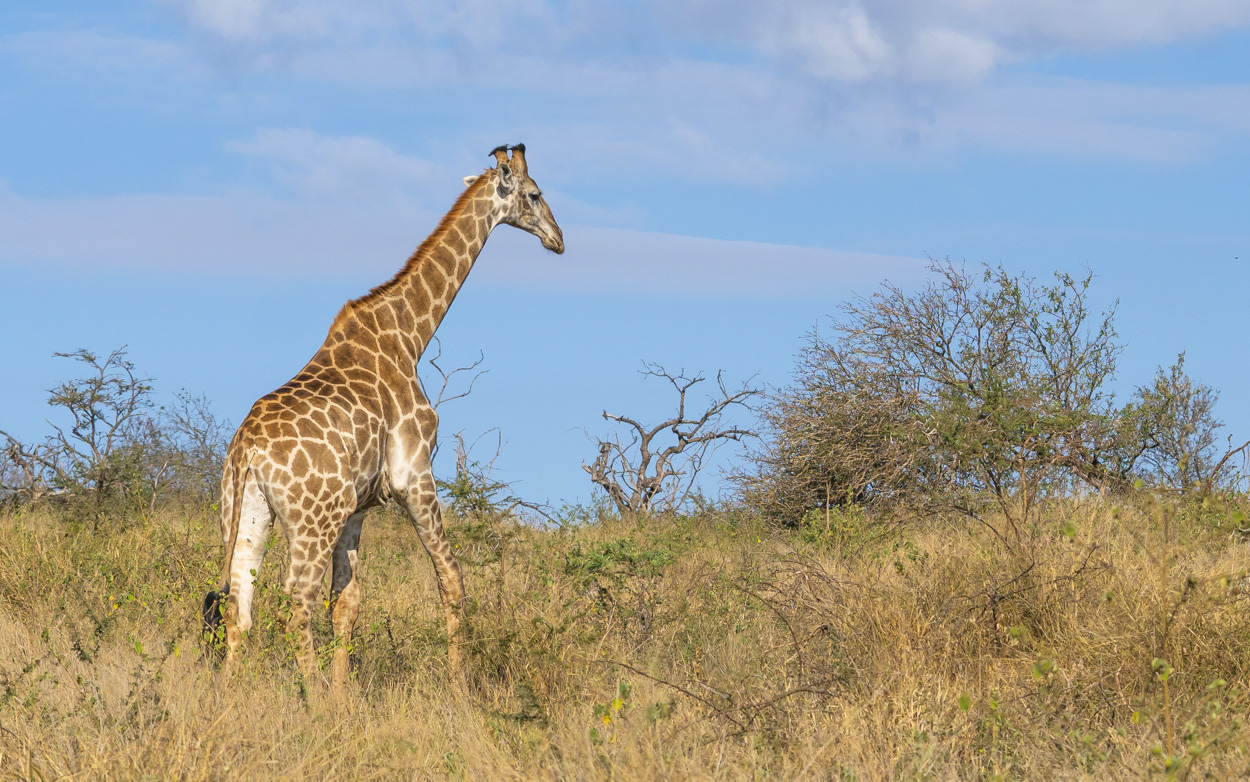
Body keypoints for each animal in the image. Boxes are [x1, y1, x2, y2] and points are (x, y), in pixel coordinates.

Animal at [202, 144, 563, 693]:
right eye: (536, 194)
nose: (559, 240)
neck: (409, 332)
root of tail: (246, 450)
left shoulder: (357, 506)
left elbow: (347, 603)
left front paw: (343, 698)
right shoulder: (414, 475)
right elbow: (452, 579)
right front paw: (459, 687)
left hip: (244, 512)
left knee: (241, 606)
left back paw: (231, 698)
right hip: (311, 520)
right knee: (294, 603)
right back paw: (309, 700)